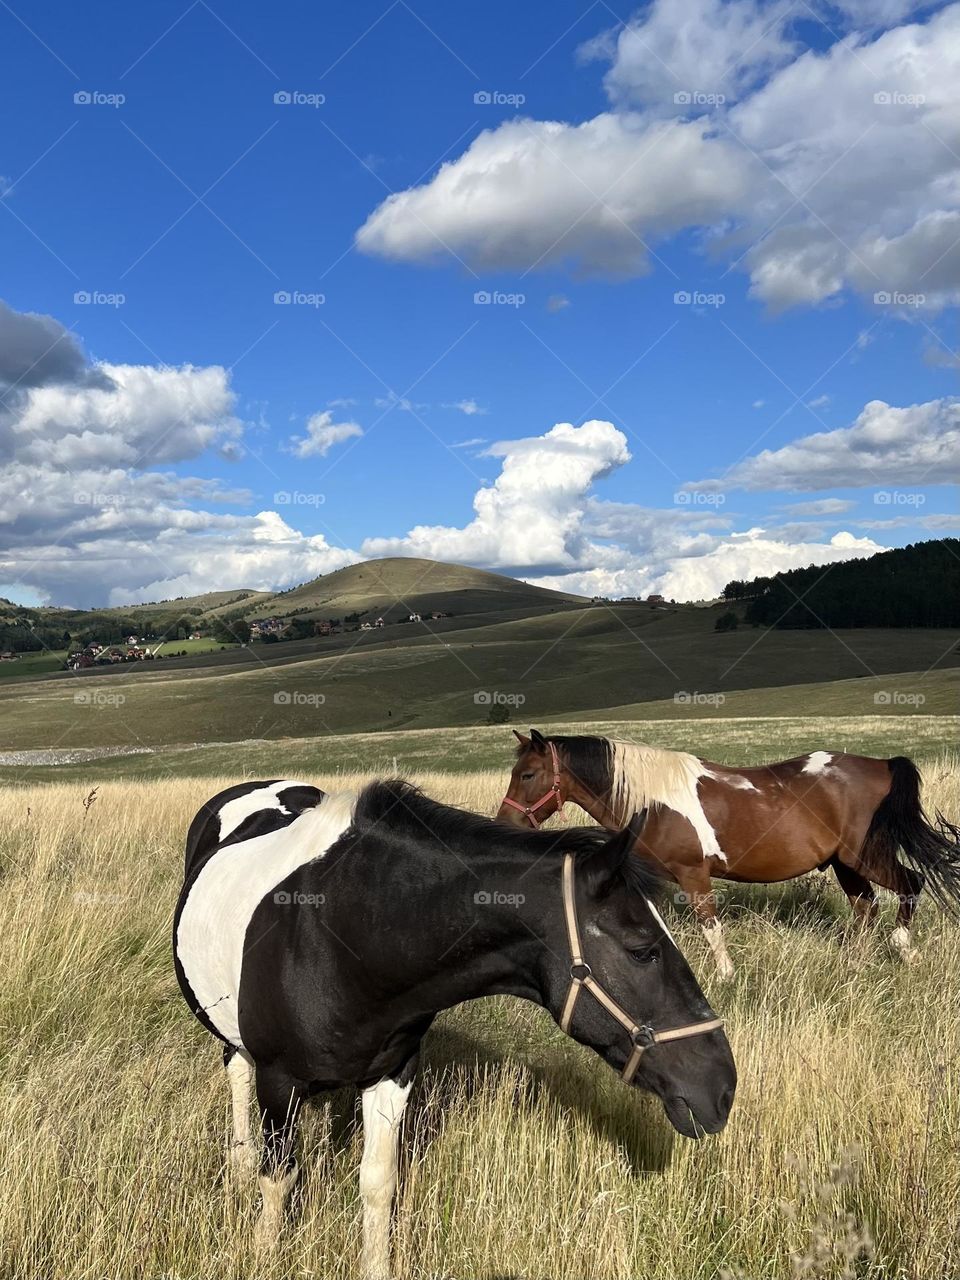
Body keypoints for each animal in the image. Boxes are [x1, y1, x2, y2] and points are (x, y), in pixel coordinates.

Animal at [173, 776, 735, 1278]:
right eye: (643, 950)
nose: (722, 1088)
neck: (337, 938)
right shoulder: (280, 1081)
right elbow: (279, 1178)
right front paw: (264, 1253)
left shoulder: (392, 1072)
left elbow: (379, 1182)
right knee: (237, 1072)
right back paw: (240, 1163)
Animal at [497, 730, 960, 979]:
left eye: (528, 774)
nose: (506, 822)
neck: (654, 801)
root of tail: (883, 765)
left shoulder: (693, 874)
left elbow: (711, 926)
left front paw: (725, 975)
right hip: (844, 865)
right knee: (865, 906)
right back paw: (856, 964)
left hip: (866, 857)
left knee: (911, 884)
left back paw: (904, 949)